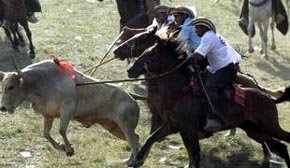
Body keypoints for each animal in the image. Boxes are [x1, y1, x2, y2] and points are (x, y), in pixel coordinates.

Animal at [0, 59, 140, 164]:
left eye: (11, 87)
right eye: (3, 86)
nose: (3, 108)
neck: (41, 82)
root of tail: (132, 99)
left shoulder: (66, 110)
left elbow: (61, 130)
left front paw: (69, 150)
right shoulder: (48, 115)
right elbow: (46, 133)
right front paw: (61, 147)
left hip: (125, 127)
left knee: (133, 141)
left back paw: (134, 161)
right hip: (114, 128)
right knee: (136, 139)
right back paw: (130, 161)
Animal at [128, 38, 290, 168]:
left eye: (151, 53)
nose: (130, 70)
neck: (180, 91)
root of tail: (267, 97)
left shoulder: (190, 129)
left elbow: (195, 155)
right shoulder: (174, 126)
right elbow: (152, 138)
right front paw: (137, 160)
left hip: (270, 127)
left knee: (284, 140)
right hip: (254, 130)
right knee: (279, 147)